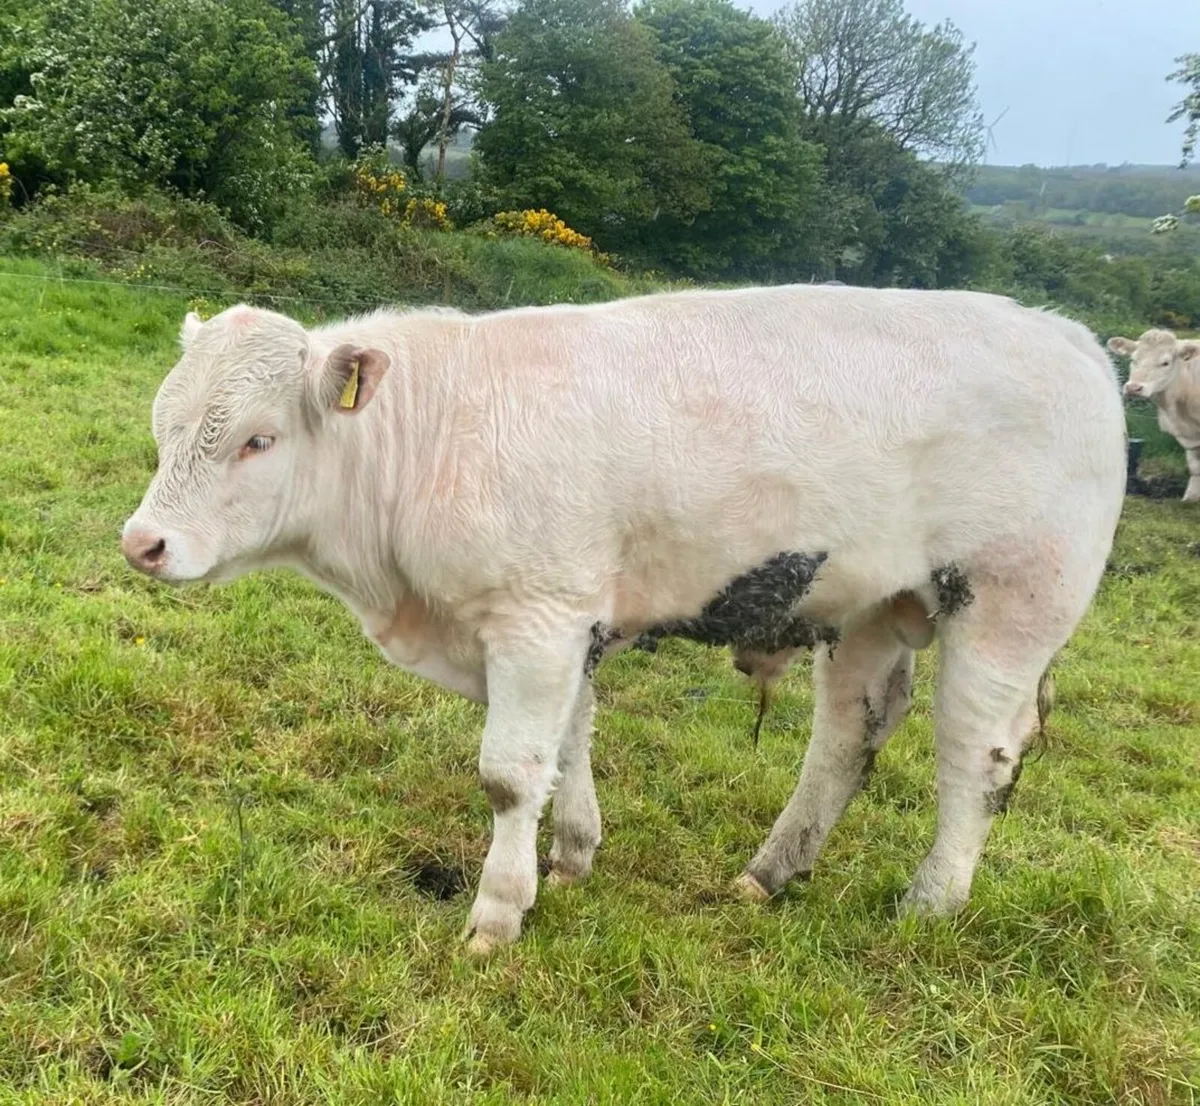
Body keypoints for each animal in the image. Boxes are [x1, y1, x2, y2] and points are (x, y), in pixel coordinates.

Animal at [121, 285, 1126, 954]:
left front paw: (496, 915)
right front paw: (571, 858)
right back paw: (771, 872)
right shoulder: (568, 627)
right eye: (163, 427)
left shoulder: (536, 619)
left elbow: (509, 776)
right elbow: (569, 746)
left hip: (1010, 602)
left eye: (257, 439)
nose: (143, 543)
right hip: (872, 606)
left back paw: (930, 901)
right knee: (849, 735)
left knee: (976, 757)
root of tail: (1068, 333)